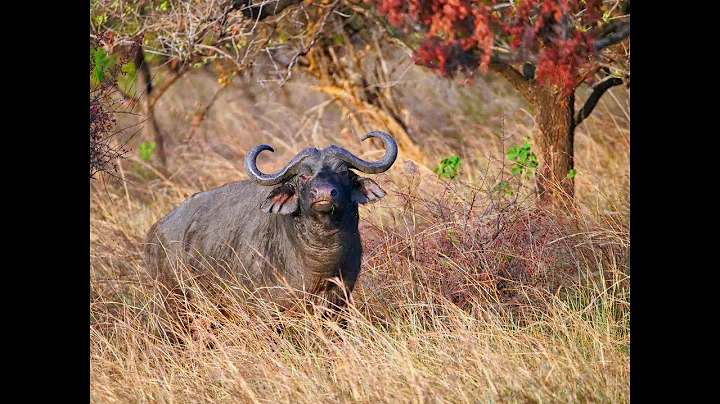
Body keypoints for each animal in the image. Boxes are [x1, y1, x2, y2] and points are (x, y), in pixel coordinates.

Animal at [144, 131, 397, 334]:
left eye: (343, 172)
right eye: (303, 175)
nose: (324, 193)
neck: (319, 261)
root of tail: (155, 231)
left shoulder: (339, 302)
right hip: (171, 307)